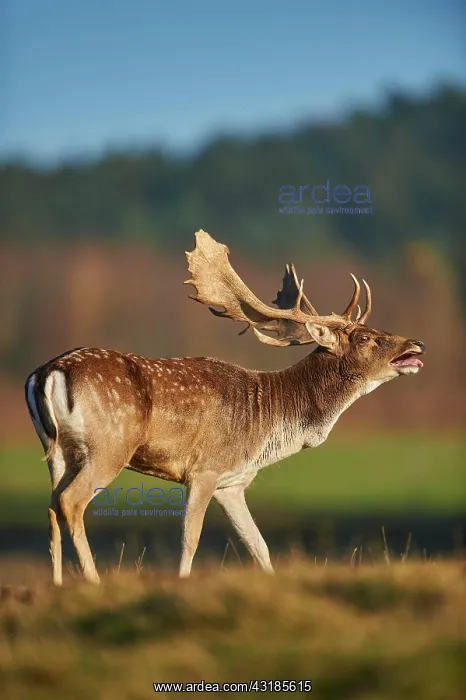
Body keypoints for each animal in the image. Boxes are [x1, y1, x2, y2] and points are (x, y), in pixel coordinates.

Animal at [25, 229, 425, 585]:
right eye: (367, 338)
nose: (417, 344)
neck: (268, 421)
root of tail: (46, 372)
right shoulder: (205, 468)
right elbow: (191, 539)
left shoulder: (232, 484)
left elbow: (259, 546)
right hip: (110, 445)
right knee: (71, 501)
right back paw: (92, 580)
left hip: (58, 449)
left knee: (52, 504)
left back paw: (58, 583)